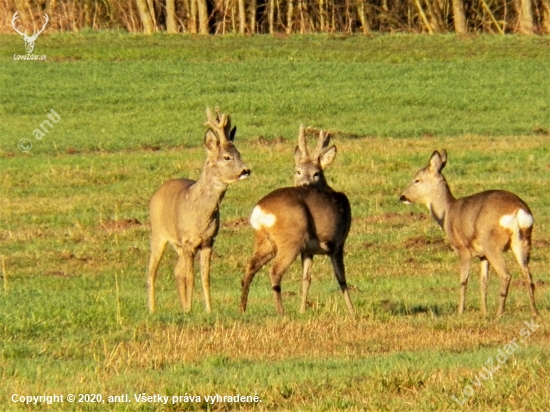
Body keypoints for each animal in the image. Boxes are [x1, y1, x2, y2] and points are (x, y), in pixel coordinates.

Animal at [147, 108, 250, 314]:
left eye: (239, 153)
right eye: (226, 157)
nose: (246, 170)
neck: (201, 215)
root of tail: (157, 193)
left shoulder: (208, 241)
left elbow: (205, 277)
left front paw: (207, 309)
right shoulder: (188, 241)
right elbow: (191, 277)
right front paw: (190, 310)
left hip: (177, 245)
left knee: (177, 271)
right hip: (159, 233)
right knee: (152, 271)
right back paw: (152, 309)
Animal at [240, 125, 354, 316]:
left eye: (316, 173)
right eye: (298, 171)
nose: (304, 185)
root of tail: (261, 210)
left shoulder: (308, 250)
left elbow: (306, 278)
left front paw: (302, 310)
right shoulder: (338, 243)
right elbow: (341, 278)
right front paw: (352, 311)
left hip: (266, 241)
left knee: (250, 266)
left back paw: (242, 307)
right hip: (291, 239)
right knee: (275, 271)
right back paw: (281, 311)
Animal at [402, 150, 540, 318]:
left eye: (417, 180)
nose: (402, 196)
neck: (447, 212)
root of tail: (518, 210)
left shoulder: (462, 249)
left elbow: (463, 281)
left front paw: (460, 311)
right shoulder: (482, 255)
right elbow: (483, 282)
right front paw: (484, 312)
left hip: (492, 244)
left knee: (506, 274)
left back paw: (499, 314)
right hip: (523, 241)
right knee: (528, 276)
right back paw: (535, 313)